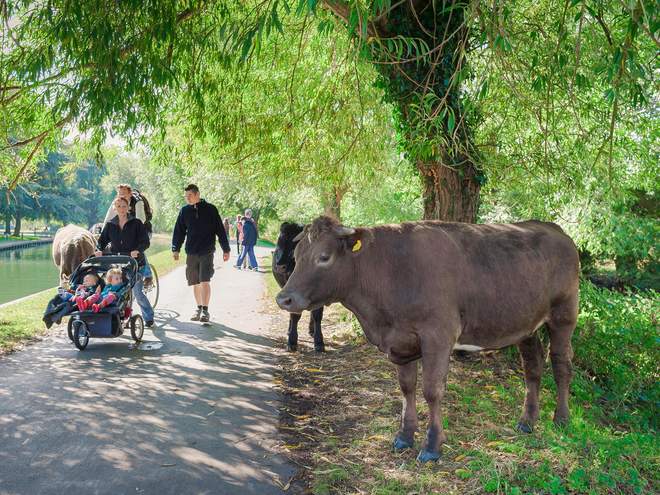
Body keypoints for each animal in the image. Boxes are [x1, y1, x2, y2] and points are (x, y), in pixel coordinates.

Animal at [272, 223, 326, 354]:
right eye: (278, 245)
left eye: (294, 247)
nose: (279, 266)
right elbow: (294, 315)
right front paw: (292, 342)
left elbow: (317, 315)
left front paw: (319, 342)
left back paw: (312, 330)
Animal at [278, 217, 576, 464]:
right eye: (297, 256)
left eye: (324, 257)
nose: (284, 298)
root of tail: (554, 229)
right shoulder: (401, 341)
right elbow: (406, 387)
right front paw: (404, 436)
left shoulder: (438, 336)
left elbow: (432, 391)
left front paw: (432, 446)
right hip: (526, 324)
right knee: (533, 367)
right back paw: (527, 421)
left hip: (564, 315)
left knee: (561, 365)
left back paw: (561, 419)